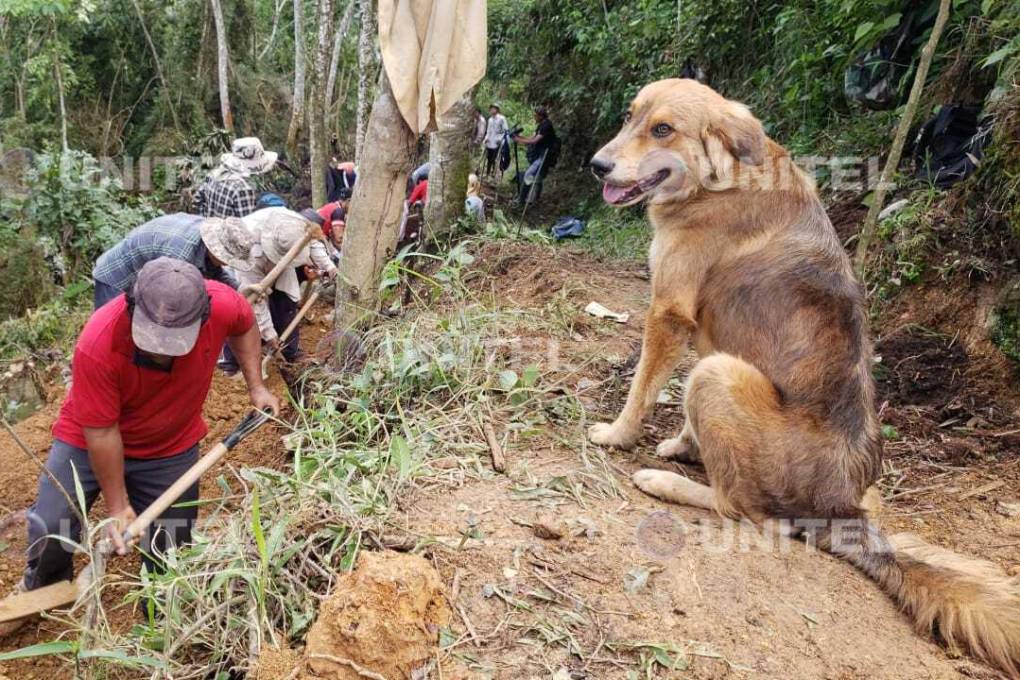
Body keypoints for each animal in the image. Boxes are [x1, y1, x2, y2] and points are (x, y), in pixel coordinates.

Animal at [587, 78, 1020, 676]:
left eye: (663, 129)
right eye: (630, 117)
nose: (597, 166)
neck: (719, 179)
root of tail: (839, 509)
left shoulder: (670, 314)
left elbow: (641, 389)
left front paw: (619, 435)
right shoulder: (706, 333)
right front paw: (684, 443)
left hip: (717, 376)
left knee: (750, 513)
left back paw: (666, 483)